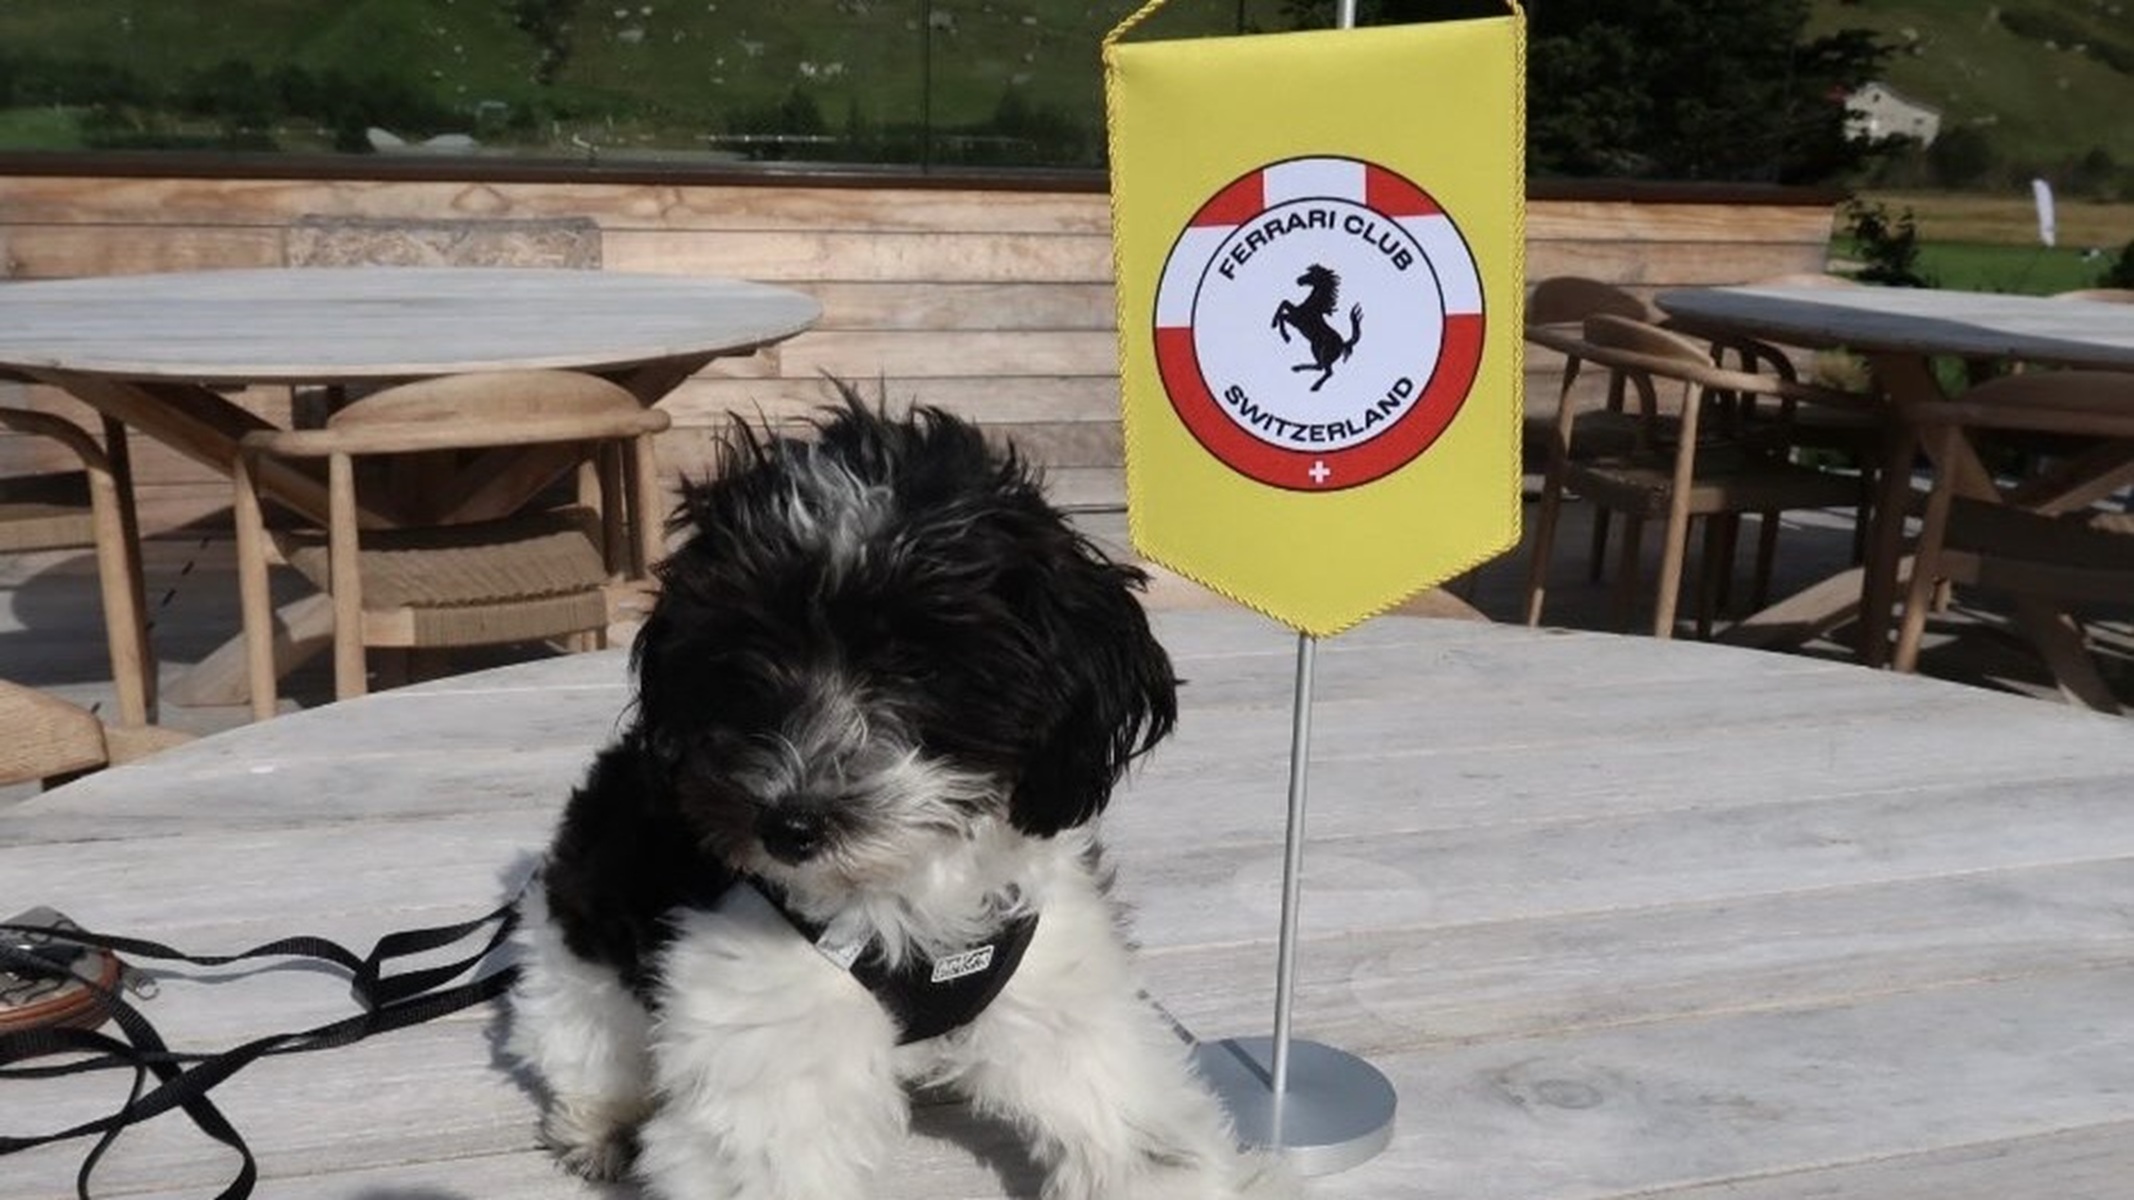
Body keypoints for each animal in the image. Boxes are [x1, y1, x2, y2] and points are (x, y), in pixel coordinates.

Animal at [507, 389, 1294, 1200]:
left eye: (917, 668)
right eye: (746, 664)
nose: (789, 826)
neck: (903, 896)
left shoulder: (1064, 998)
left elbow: (1137, 1127)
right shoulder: (770, 1052)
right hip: (576, 953)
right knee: (583, 1035)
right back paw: (603, 1122)